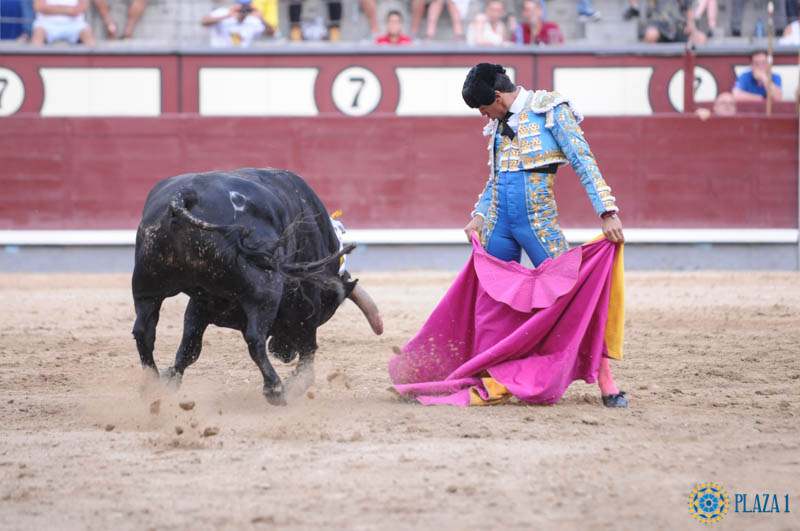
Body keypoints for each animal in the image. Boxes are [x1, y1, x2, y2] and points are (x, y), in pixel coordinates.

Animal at [131, 168, 382, 406]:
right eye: (328, 310)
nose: (283, 353)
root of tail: (185, 194)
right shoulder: (307, 308)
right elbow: (308, 354)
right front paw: (295, 384)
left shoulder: (200, 302)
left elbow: (190, 348)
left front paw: (170, 378)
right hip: (265, 291)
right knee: (255, 340)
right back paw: (275, 388)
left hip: (147, 287)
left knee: (144, 332)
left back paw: (152, 384)